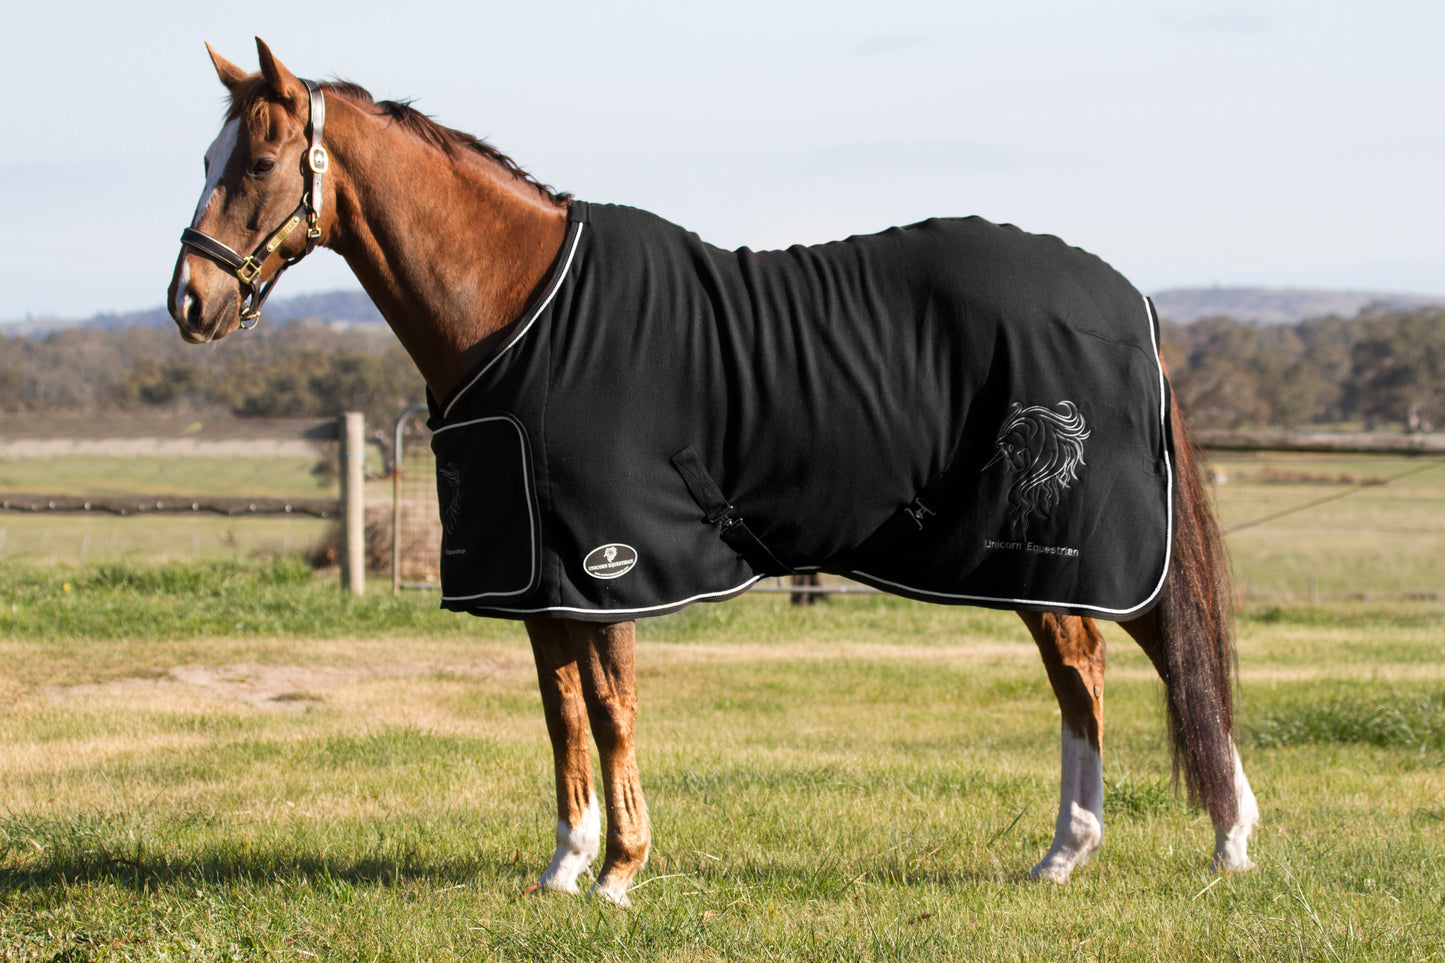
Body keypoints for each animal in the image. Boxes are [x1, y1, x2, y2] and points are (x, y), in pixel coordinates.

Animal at [167, 39, 1258, 905]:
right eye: (209, 157)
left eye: (258, 159)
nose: (189, 299)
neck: (524, 309)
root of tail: (1125, 298)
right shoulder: (539, 577)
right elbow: (561, 713)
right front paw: (564, 867)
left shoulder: (606, 564)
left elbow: (611, 709)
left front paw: (620, 872)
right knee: (1109, 661)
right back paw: (1136, 847)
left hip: (1059, 542)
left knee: (1112, 660)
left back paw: (1148, 846)